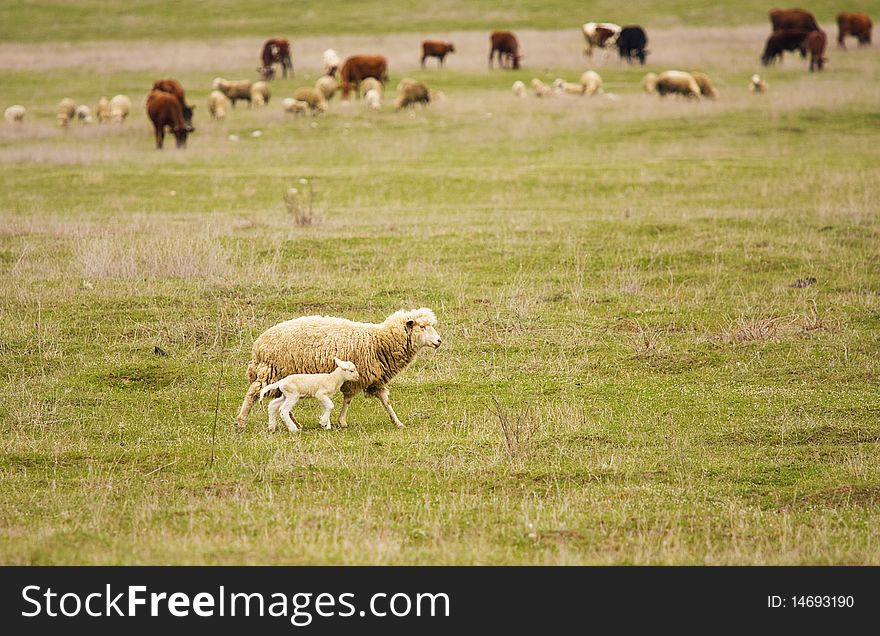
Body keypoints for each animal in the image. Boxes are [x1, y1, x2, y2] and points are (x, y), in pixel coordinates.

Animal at [235, 306, 444, 428]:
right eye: (422, 327)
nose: (439, 341)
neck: (380, 342)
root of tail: (259, 344)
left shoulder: (376, 379)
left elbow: (385, 401)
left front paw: (397, 421)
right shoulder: (356, 377)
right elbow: (348, 400)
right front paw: (341, 421)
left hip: (281, 376)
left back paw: (295, 423)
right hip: (271, 371)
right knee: (253, 393)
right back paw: (241, 421)